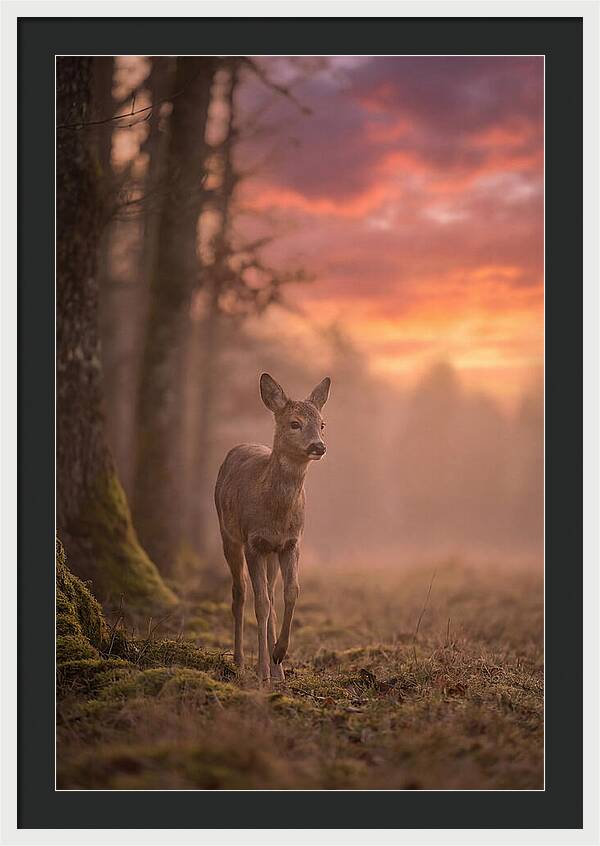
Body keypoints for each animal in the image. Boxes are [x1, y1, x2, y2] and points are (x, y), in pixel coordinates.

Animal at [214, 372, 331, 685]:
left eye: (322, 424)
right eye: (295, 423)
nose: (318, 446)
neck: (276, 514)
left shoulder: (291, 543)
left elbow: (291, 593)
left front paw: (279, 654)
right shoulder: (254, 542)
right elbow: (261, 604)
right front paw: (262, 671)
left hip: (271, 554)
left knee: (269, 591)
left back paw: (277, 669)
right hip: (228, 535)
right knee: (240, 593)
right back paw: (241, 661)